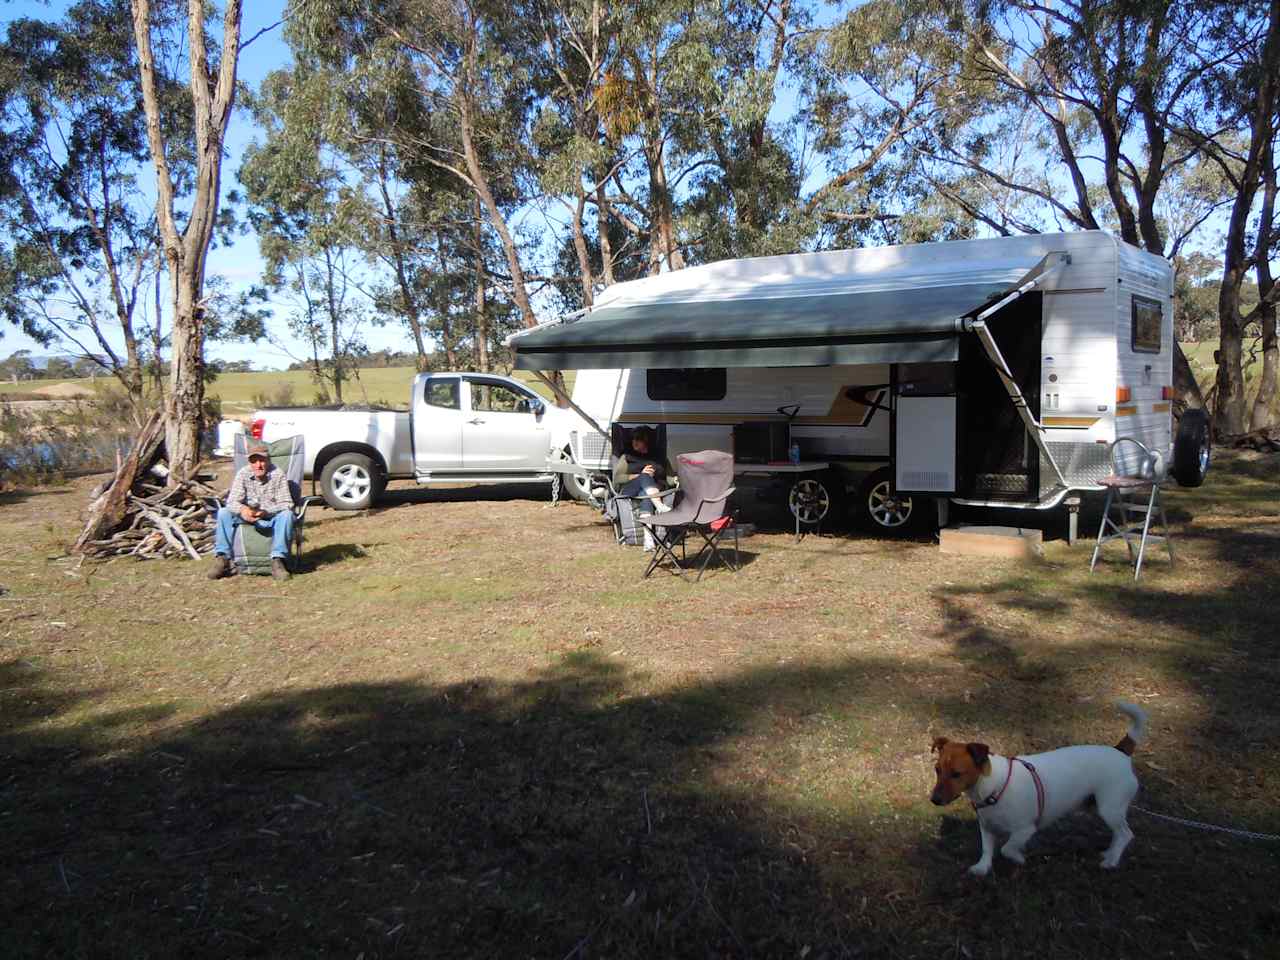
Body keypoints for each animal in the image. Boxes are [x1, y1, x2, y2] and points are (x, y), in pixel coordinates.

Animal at [931, 701, 1152, 875]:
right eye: (937, 770)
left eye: (957, 774)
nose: (934, 800)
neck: (994, 786)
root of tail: (1121, 751)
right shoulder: (986, 827)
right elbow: (987, 849)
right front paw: (983, 867)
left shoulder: (1026, 829)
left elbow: (1007, 848)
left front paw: (1018, 858)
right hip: (1102, 807)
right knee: (1118, 834)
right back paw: (1109, 853)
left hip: (1110, 808)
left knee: (1125, 834)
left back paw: (1112, 860)